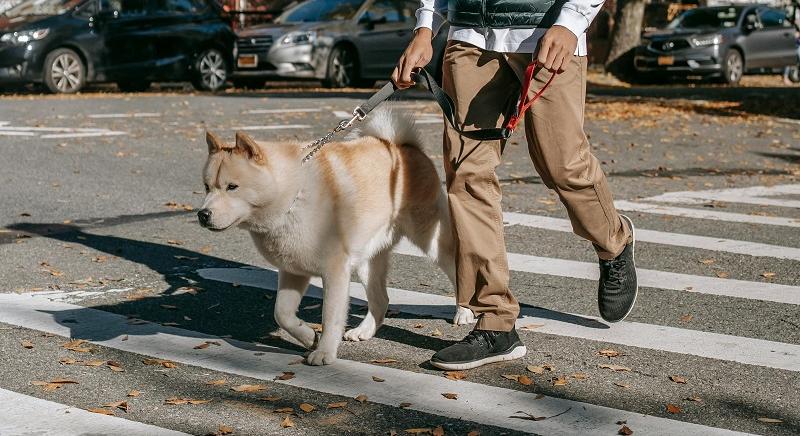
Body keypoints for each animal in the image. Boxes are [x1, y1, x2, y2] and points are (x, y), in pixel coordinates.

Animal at [200, 110, 476, 364]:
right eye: (207, 187)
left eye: (232, 187)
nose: (203, 214)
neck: (293, 196)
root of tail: (403, 146)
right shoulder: (293, 271)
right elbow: (282, 313)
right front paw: (308, 337)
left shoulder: (335, 270)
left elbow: (331, 317)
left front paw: (324, 352)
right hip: (367, 260)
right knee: (381, 300)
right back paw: (364, 330)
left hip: (431, 240)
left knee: (458, 271)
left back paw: (464, 312)